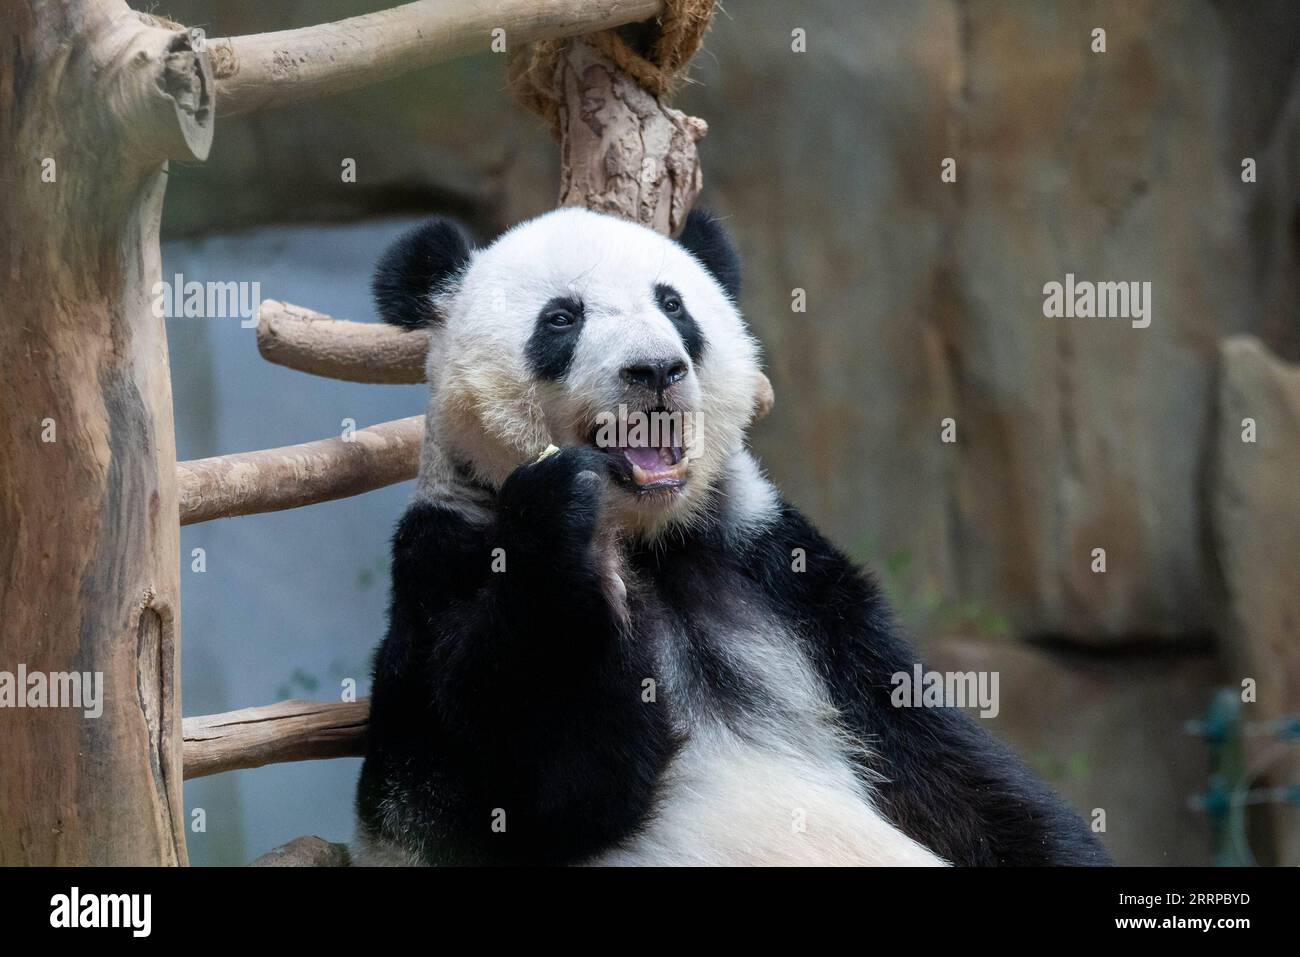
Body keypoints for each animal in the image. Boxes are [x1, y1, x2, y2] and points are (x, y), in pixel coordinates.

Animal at [353, 204, 1107, 868]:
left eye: (674, 305)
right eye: (561, 317)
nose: (655, 369)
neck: (649, 541)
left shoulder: (782, 577)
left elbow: (942, 766)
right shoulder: (444, 562)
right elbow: (531, 780)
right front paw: (563, 520)